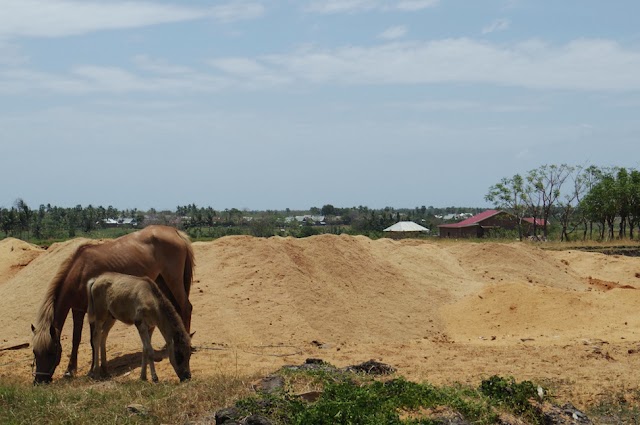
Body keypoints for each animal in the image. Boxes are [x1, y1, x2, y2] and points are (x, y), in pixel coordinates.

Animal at [31, 225, 194, 384]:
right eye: (35, 352)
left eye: (51, 352)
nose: (39, 380)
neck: (80, 271)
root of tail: (175, 232)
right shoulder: (77, 309)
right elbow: (76, 339)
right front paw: (70, 371)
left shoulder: (93, 312)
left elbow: (92, 340)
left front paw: (92, 369)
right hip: (161, 281)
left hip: (173, 280)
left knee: (186, 307)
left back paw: (186, 340)